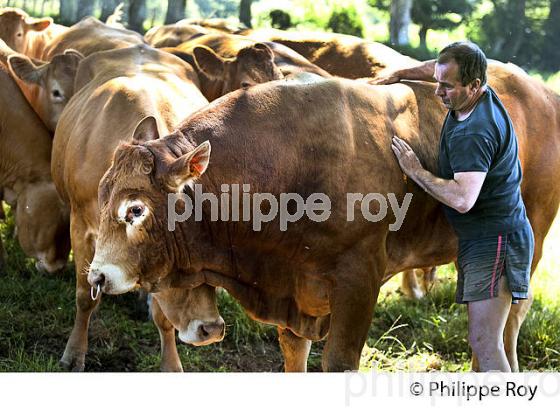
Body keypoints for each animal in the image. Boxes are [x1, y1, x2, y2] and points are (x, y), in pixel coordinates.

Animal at [50, 44, 221, 372]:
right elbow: (85, 297)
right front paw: (73, 353)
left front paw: (171, 364)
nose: (210, 329)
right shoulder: (80, 226)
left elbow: (163, 317)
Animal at [89, 67, 556, 372]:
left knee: (509, 321)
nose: (96, 276)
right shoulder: (293, 294)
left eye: (135, 209)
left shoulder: (359, 281)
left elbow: (339, 363)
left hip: (528, 244)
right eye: (101, 197)